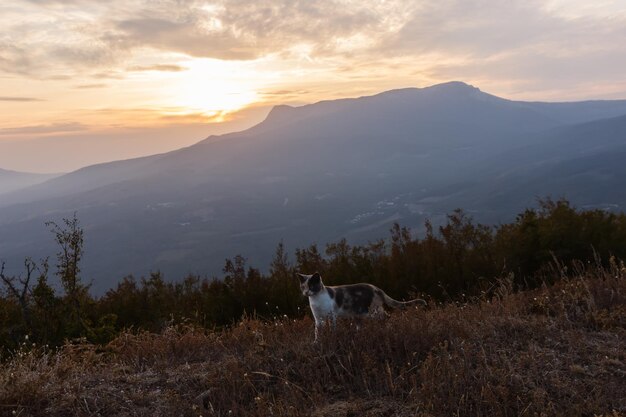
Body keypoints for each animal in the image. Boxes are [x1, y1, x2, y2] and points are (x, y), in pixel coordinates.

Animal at [296, 272, 424, 340]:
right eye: (303, 287)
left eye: (312, 286)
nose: (306, 292)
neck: (315, 300)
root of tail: (376, 288)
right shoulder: (318, 319)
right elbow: (317, 332)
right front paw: (317, 342)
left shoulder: (331, 316)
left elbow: (332, 328)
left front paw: (332, 337)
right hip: (359, 315)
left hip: (370, 312)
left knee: (386, 316)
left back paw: (388, 329)